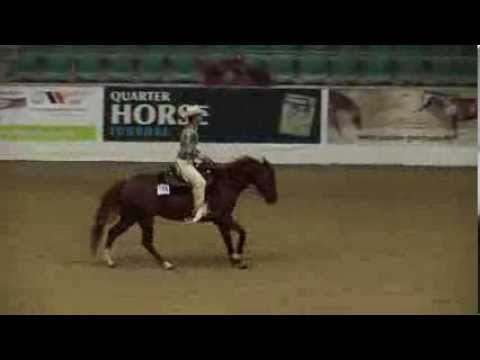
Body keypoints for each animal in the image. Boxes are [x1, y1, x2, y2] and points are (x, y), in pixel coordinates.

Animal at [90, 156, 278, 268]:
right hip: (143, 218)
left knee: (113, 232)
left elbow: (229, 239)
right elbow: (241, 233)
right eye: (268, 177)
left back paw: (110, 261)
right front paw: (238, 257)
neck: (225, 183)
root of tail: (126, 182)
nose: (273, 199)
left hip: (131, 217)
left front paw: (234, 257)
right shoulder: (223, 218)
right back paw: (166, 264)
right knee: (145, 241)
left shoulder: (221, 220)